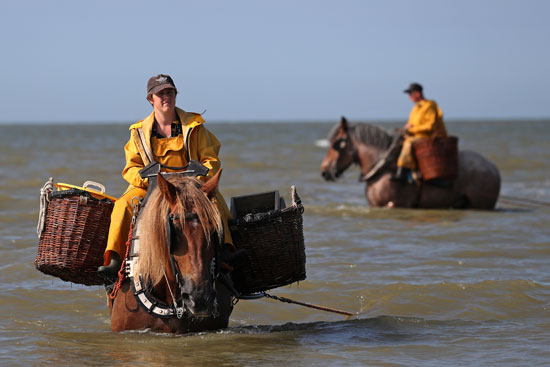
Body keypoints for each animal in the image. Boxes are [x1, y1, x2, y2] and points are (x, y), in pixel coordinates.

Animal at [322, 118, 502, 210]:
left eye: (335, 144)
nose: (324, 170)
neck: (383, 169)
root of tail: (493, 167)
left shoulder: (394, 204)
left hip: (481, 203)